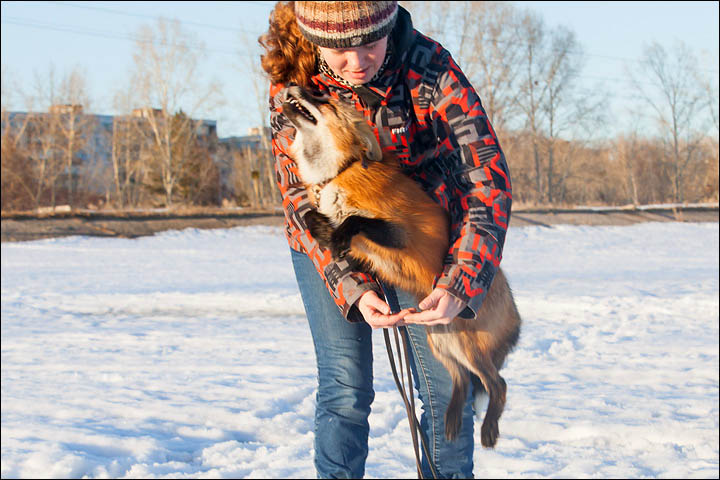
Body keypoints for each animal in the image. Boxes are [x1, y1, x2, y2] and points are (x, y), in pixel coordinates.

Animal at [282, 84, 524, 448]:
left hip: (466, 346)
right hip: (441, 344)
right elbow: (315, 219)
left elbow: (356, 221)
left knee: (498, 384)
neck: (341, 171)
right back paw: (452, 419)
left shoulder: (405, 235)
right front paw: (328, 234)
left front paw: (339, 236)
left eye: (322, 99)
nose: (292, 87)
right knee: (462, 381)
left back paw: (489, 429)